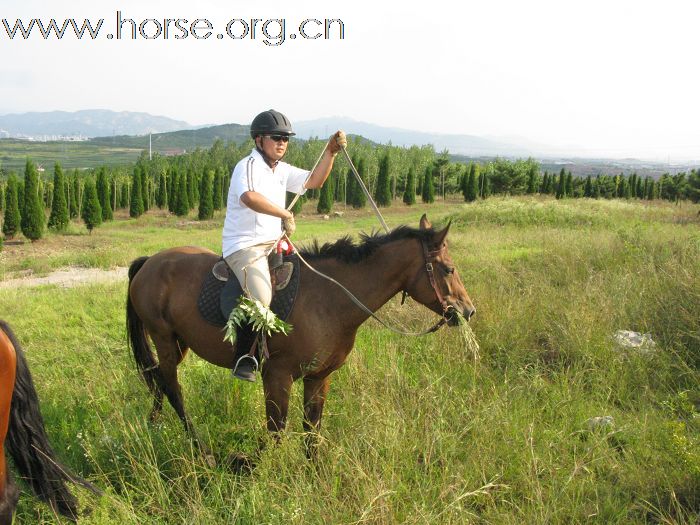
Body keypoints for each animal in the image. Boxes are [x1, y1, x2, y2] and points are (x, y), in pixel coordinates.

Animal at [126, 215, 476, 460]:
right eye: (448, 269)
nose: (467, 310)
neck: (328, 299)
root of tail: (150, 262)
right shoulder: (277, 376)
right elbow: (277, 429)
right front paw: (251, 466)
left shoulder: (318, 377)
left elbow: (312, 429)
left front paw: (314, 474)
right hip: (163, 337)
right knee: (173, 387)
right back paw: (201, 449)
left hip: (179, 342)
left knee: (158, 379)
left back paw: (154, 424)